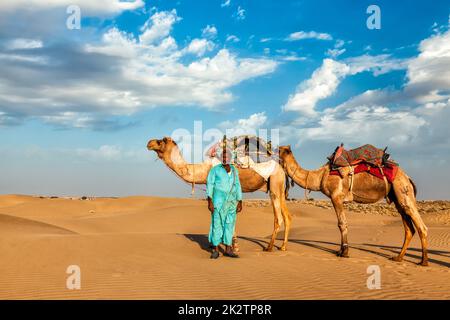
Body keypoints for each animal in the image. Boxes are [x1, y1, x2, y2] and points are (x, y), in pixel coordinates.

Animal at [148, 136, 294, 251]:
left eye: (162, 140)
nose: (149, 142)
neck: (205, 168)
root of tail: (282, 168)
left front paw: (231, 246)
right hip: (279, 187)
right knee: (287, 216)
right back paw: (283, 247)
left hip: (275, 182)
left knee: (278, 217)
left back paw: (269, 247)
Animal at [278, 145, 428, 264]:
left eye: (280, 150)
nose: (274, 149)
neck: (320, 176)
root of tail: (408, 177)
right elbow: (342, 223)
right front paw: (341, 250)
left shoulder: (336, 196)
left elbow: (342, 224)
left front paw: (344, 252)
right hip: (397, 197)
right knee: (409, 228)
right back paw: (398, 257)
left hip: (403, 190)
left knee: (420, 225)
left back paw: (423, 261)